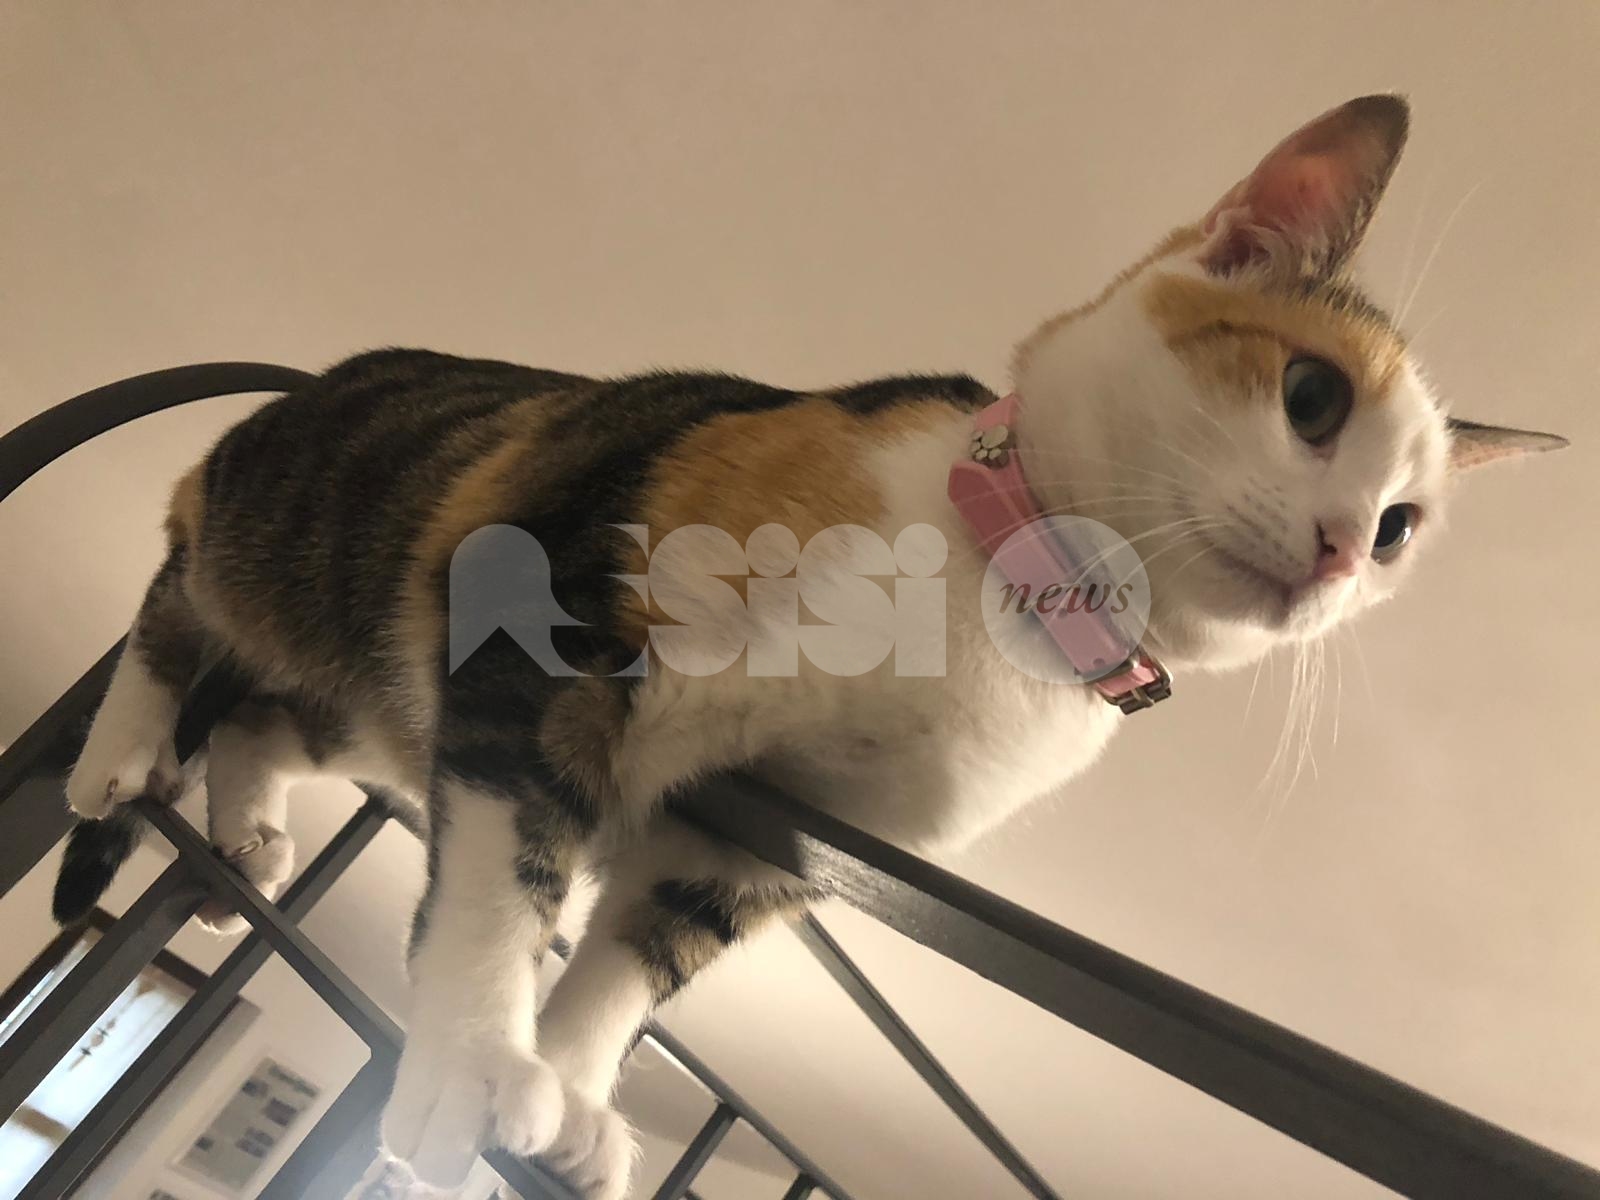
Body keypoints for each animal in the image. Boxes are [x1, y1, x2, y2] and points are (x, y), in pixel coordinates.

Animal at [50, 94, 1564, 1199]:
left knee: (268, 720)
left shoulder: (777, 841)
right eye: (1311, 397)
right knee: (174, 604)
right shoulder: (546, 629)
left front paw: (576, 1096)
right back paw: (121, 755)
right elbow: (509, 875)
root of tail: (337, 373)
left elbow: (640, 959)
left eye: (1403, 530)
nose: (1340, 553)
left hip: (371, 691)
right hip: (270, 538)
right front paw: (477, 1061)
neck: (994, 616)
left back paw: (247, 830)